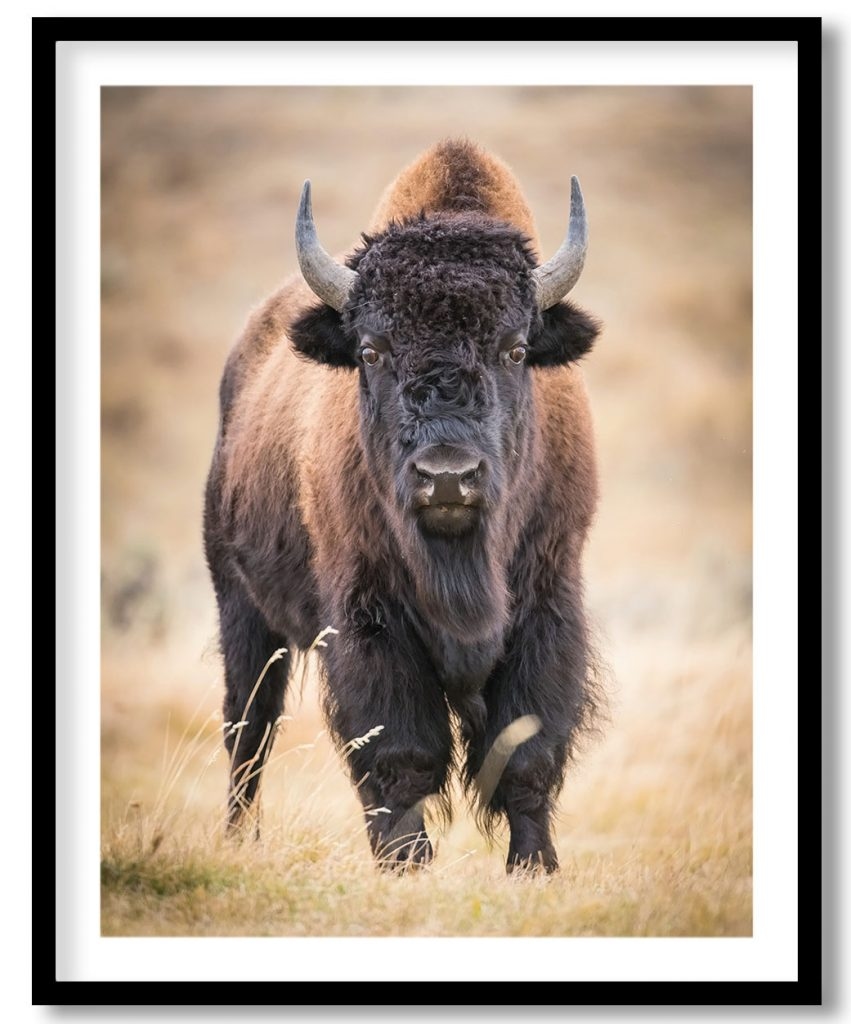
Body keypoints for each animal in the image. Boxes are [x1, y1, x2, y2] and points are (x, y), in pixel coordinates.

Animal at [204, 139, 603, 873]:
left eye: (516, 349)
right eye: (371, 350)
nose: (447, 478)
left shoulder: (547, 602)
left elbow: (527, 750)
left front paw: (534, 866)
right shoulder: (369, 617)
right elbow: (399, 749)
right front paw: (406, 863)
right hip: (241, 608)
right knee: (249, 731)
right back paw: (240, 840)